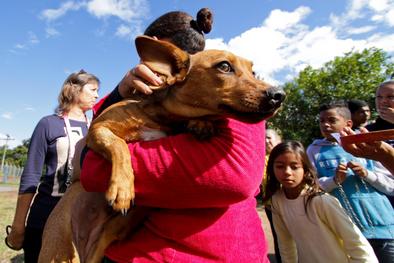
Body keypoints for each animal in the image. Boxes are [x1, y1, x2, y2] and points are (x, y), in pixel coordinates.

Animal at [38, 35, 284, 263]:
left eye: (253, 71)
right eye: (224, 66)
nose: (279, 95)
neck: (160, 118)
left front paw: (200, 123)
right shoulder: (98, 130)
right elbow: (120, 146)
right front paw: (122, 188)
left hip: (118, 229)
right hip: (58, 248)